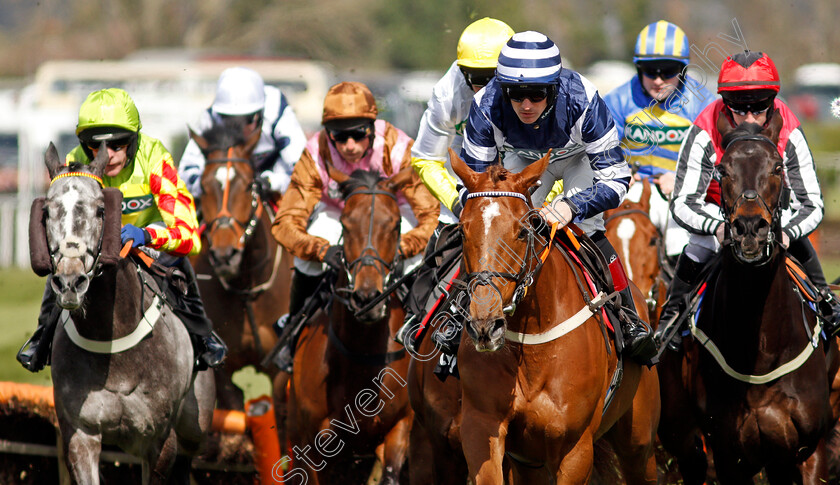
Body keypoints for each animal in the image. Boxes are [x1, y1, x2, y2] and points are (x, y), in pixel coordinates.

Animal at [42, 144, 215, 484]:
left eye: (101, 210)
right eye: (46, 212)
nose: (70, 282)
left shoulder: (160, 440)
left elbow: (184, 226)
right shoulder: (79, 432)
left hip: (195, 424)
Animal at [187, 122, 292, 408]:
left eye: (247, 186)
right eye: (203, 186)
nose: (225, 254)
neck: (246, 288)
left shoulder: (279, 368)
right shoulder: (224, 368)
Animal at [450, 149, 660, 482]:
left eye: (524, 231)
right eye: (461, 230)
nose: (485, 325)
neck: (532, 342)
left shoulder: (574, 448)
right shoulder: (482, 429)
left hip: (639, 444)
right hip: (529, 464)